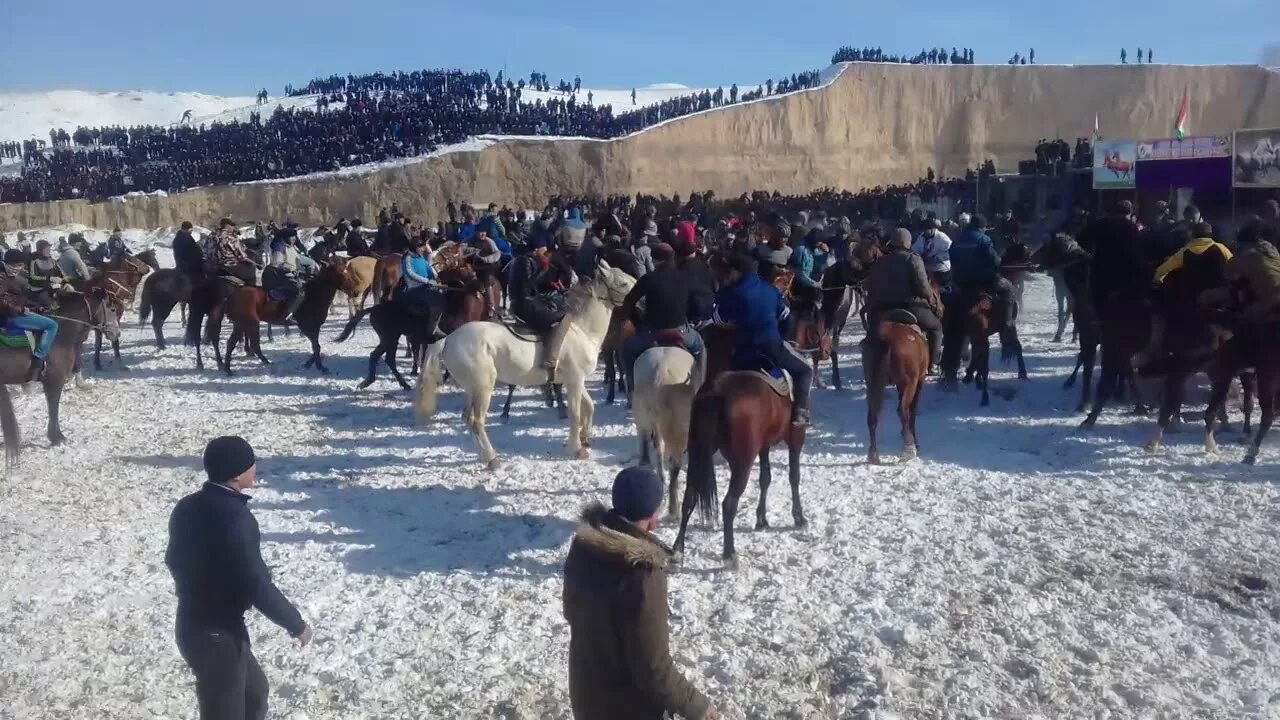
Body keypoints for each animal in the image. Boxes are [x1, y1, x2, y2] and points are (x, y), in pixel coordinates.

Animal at [0, 288, 120, 468]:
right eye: (112, 309)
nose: (117, 333)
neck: (60, 335)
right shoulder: (54, 381)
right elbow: (54, 407)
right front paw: (57, 437)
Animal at [208, 254, 350, 371]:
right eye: (338, 270)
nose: (348, 284)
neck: (314, 295)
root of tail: (231, 296)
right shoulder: (307, 326)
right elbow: (316, 346)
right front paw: (320, 367)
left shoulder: (315, 327)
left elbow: (316, 346)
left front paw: (311, 363)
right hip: (248, 323)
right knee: (242, 344)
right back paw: (230, 368)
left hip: (242, 324)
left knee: (241, 344)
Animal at [414, 260, 634, 468]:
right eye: (622, 283)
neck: (582, 331)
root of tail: (449, 339)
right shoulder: (575, 380)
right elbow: (576, 413)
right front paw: (577, 449)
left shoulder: (575, 381)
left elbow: (589, 407)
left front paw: (585, 438)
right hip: (483, 387)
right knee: (476, 421)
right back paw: (492, 459)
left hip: (472, 388)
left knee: (467, 418)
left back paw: (483, 456)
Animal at [675, 324, 803, 566]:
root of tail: (715, 392)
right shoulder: (796, 438)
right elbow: (794, 476)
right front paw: (799, 516)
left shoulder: (763, 446)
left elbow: (765, 478)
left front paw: (762, 519)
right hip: (743, 460)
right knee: (729, 504)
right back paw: (730, 553)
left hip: (698, 455)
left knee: (689, 498)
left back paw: (678, 548)